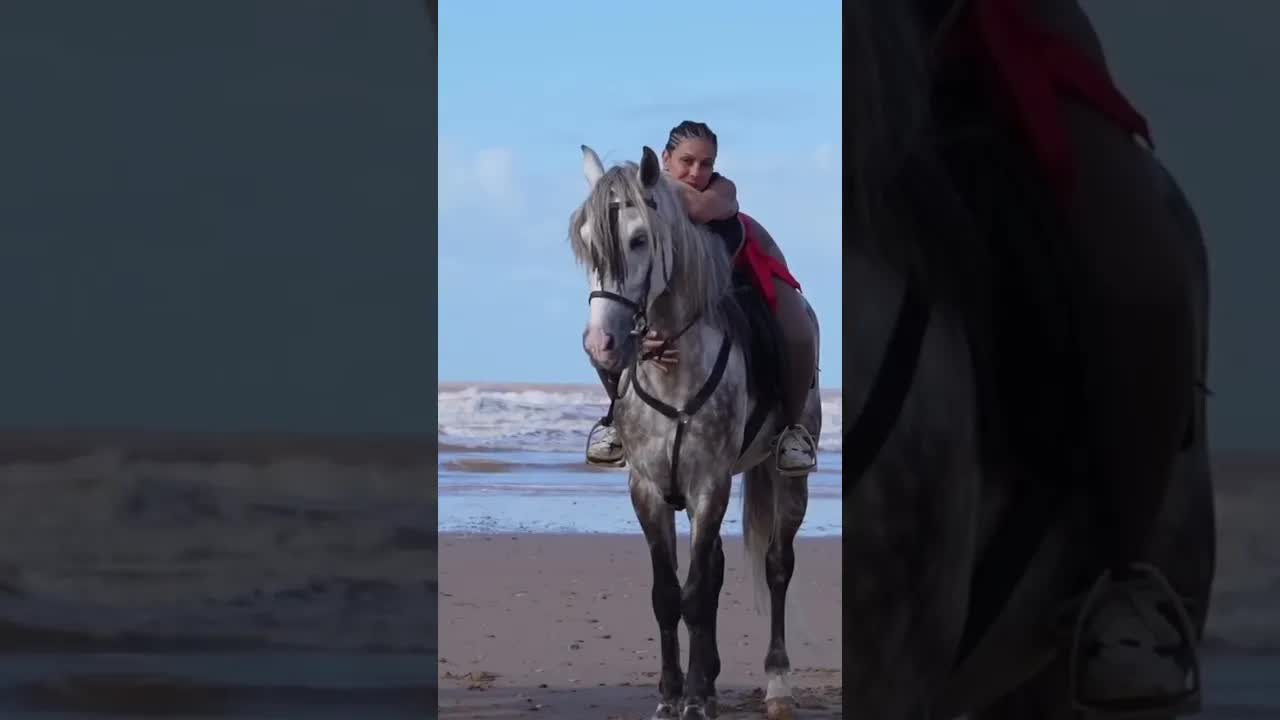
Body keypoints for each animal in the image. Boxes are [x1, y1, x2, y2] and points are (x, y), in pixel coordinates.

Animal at [568, 145, 823, 720]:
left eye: (639, 240)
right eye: (588, 243)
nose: (601, 344)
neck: (674, 366)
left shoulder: (710, 484)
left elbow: (697, 592)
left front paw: (698, 698)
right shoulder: (647, 488)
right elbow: (669, 595)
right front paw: (673, 695)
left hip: (789, 476)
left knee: (777, 565)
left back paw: (777, 683)